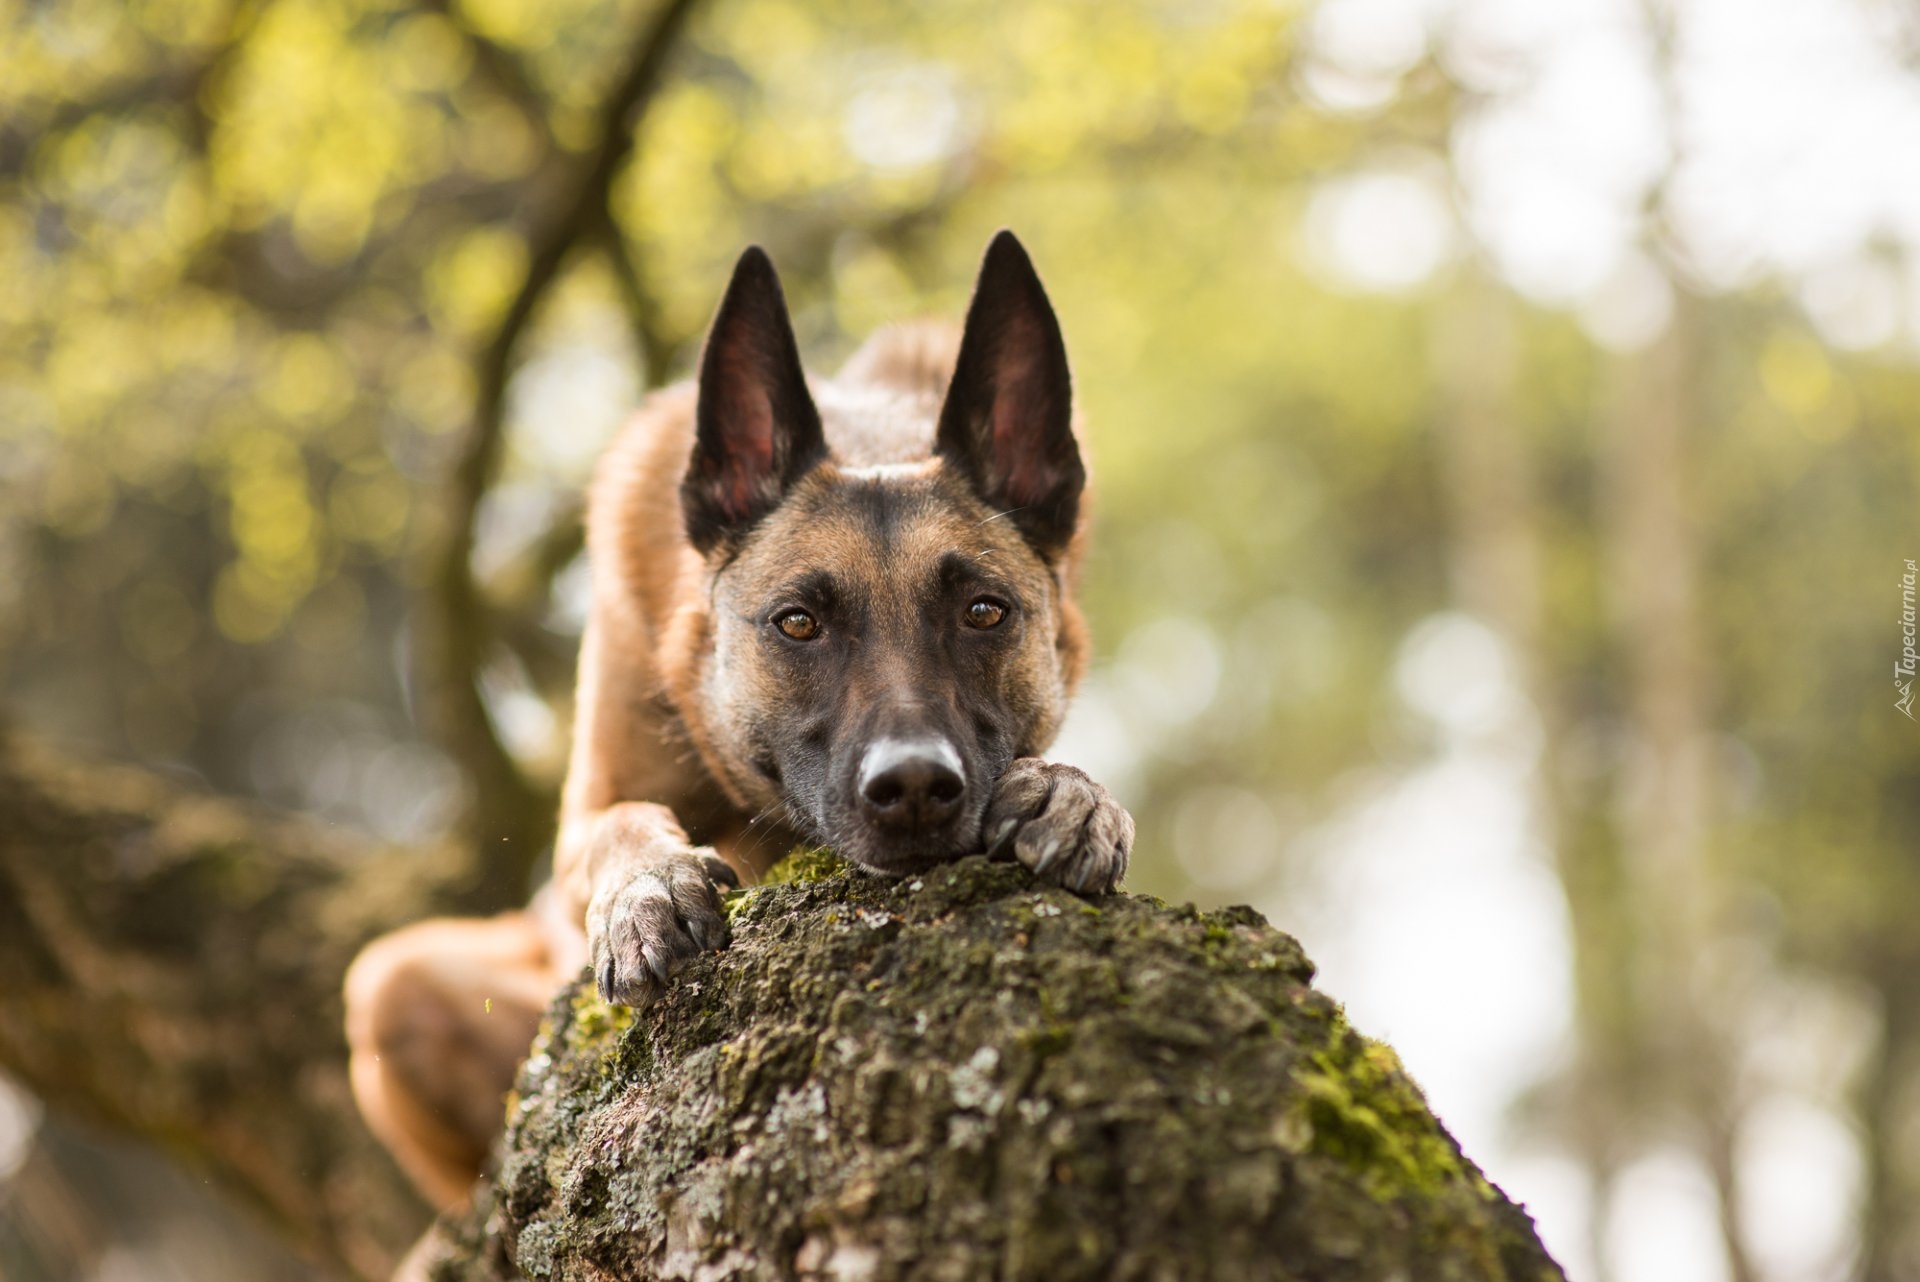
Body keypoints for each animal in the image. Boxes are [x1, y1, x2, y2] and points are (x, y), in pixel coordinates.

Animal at [345, 233, 1128, 1212]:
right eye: (797, 623)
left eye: (984, 612)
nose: (914, 788)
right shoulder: (583, 820)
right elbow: (618, 823)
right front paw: (647, 888)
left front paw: (1074, 796)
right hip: (389, 988)